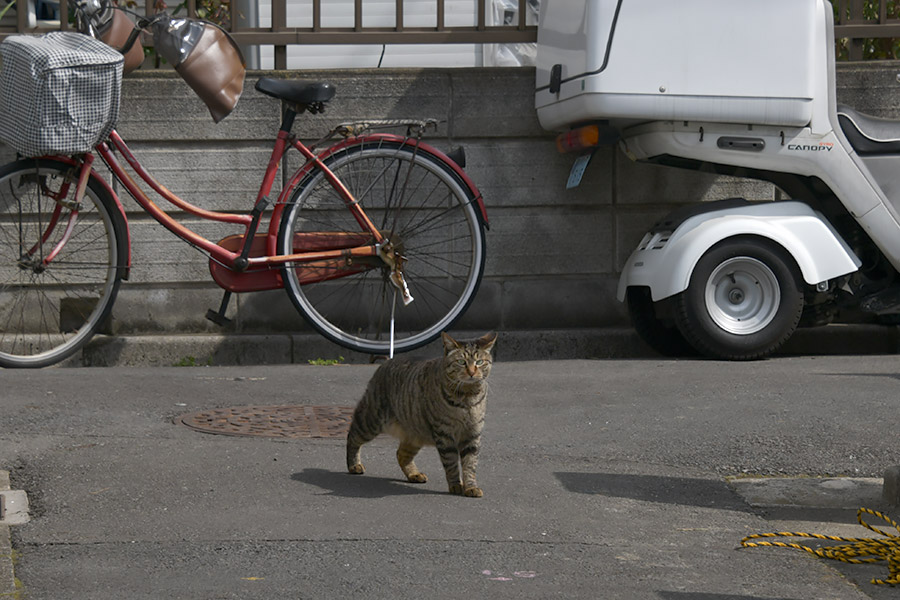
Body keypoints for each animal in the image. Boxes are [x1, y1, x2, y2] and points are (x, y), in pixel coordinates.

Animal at [346, 332, 500, 496]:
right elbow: (451, 463)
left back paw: (414, 474)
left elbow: (470, 464)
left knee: (401, 454)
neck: (467, 397)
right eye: (461, 362)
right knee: (352, 435)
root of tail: (388, 361)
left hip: (415, 433)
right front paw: (456, 485)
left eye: (479, 362)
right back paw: (353, 465)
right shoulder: (444, 434)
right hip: (370, 420)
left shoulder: (473, 434)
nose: (471, 372)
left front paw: (470, 487)